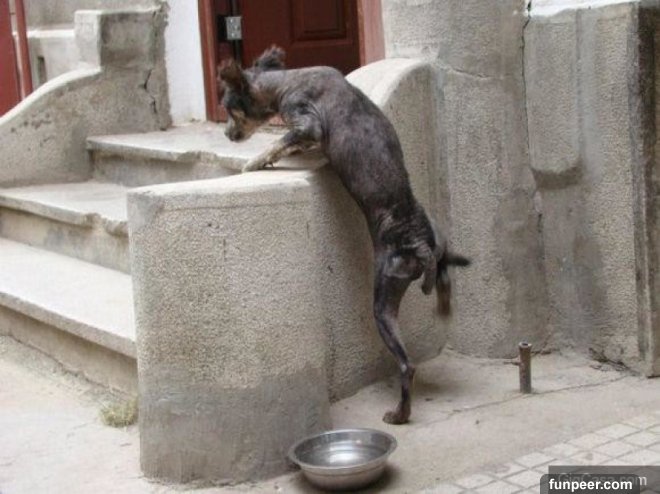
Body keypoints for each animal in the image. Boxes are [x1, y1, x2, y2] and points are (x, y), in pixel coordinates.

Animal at [219, 47, 470, 424]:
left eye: (230, 108)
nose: (227, 135)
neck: (286, 80)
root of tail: (421, 244)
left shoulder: (306, 122)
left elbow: (280, 141)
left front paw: (254, 162)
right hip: (427, 262)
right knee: (443, 278)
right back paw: (443, 301)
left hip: (383, 298)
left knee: (407, 366)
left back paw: (398, 414)